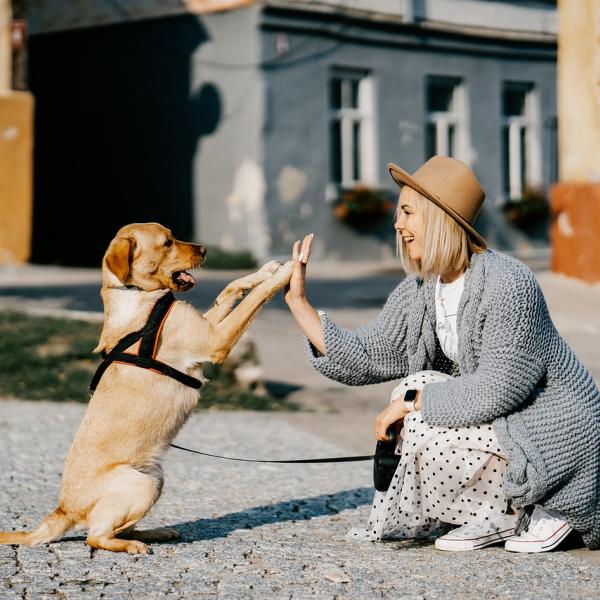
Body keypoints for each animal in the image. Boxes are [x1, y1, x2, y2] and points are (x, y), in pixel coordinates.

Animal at [0, 223, 294, 556]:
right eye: (167, 243)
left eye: (174, 235)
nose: (205, 249)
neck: (139, 295)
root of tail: (64, 509)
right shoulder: (215, 339)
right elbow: (253, 299)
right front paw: (286, 273)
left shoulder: (207, 325)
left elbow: (231, 288)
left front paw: (266, 270)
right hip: (142, 484)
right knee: (95, 536)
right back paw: (132, 545)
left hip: (155, 479)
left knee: (118, 528)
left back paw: (155, 533)